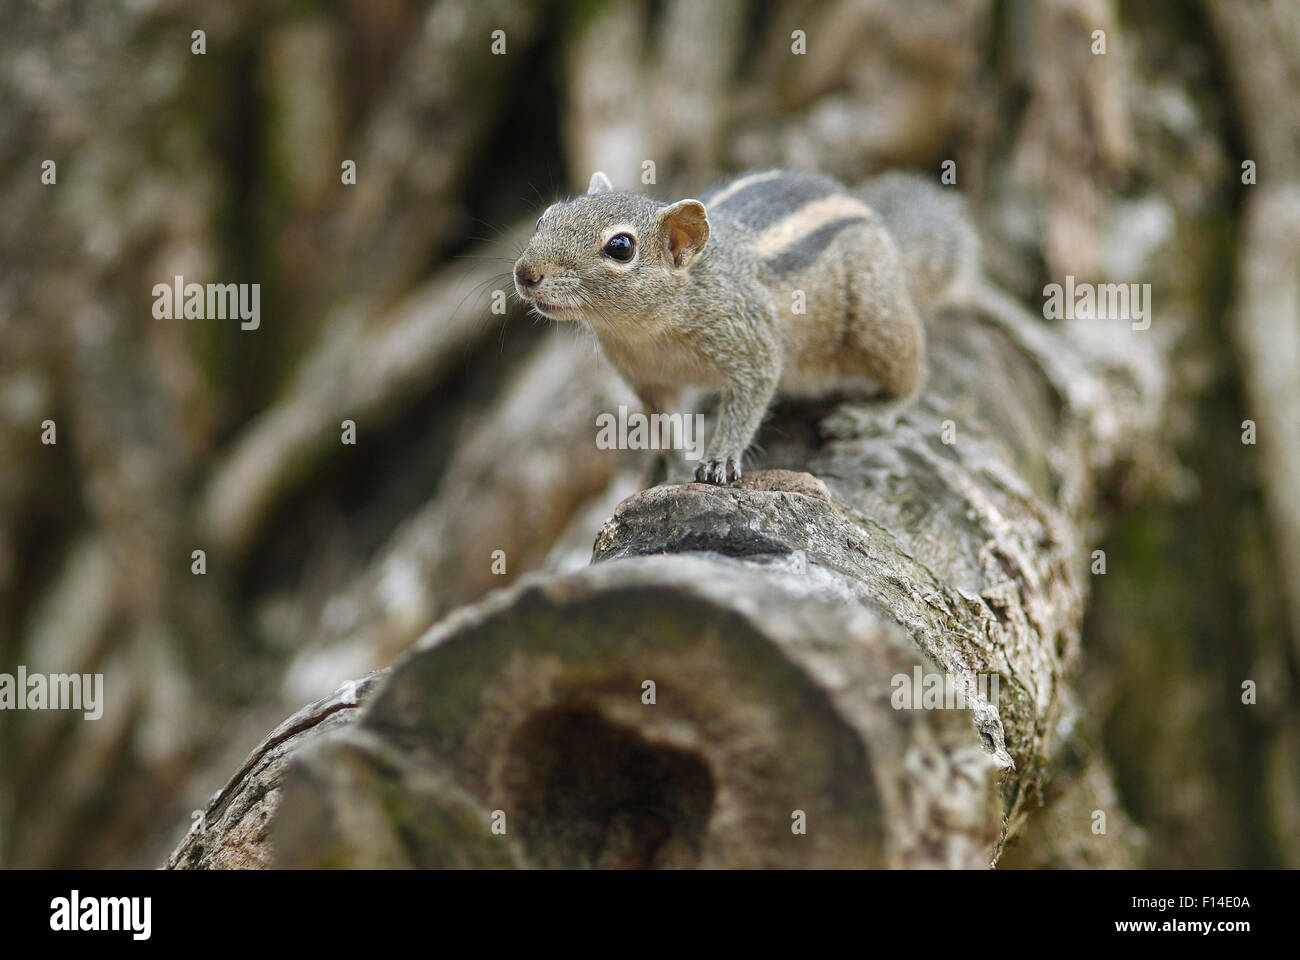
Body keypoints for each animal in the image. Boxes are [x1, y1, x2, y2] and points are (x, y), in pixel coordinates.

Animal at [512, 169, 977, 481]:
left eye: (621, 247)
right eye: (543, 218)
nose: (525, 273)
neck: (645, 331)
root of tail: (888, 238)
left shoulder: (751, 340)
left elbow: (750, 397)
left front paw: (719, 458)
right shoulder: (647, 379)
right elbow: (665, 424)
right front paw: (675, 465)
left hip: (876, 321)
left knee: (911, 373)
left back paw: (872, 412)